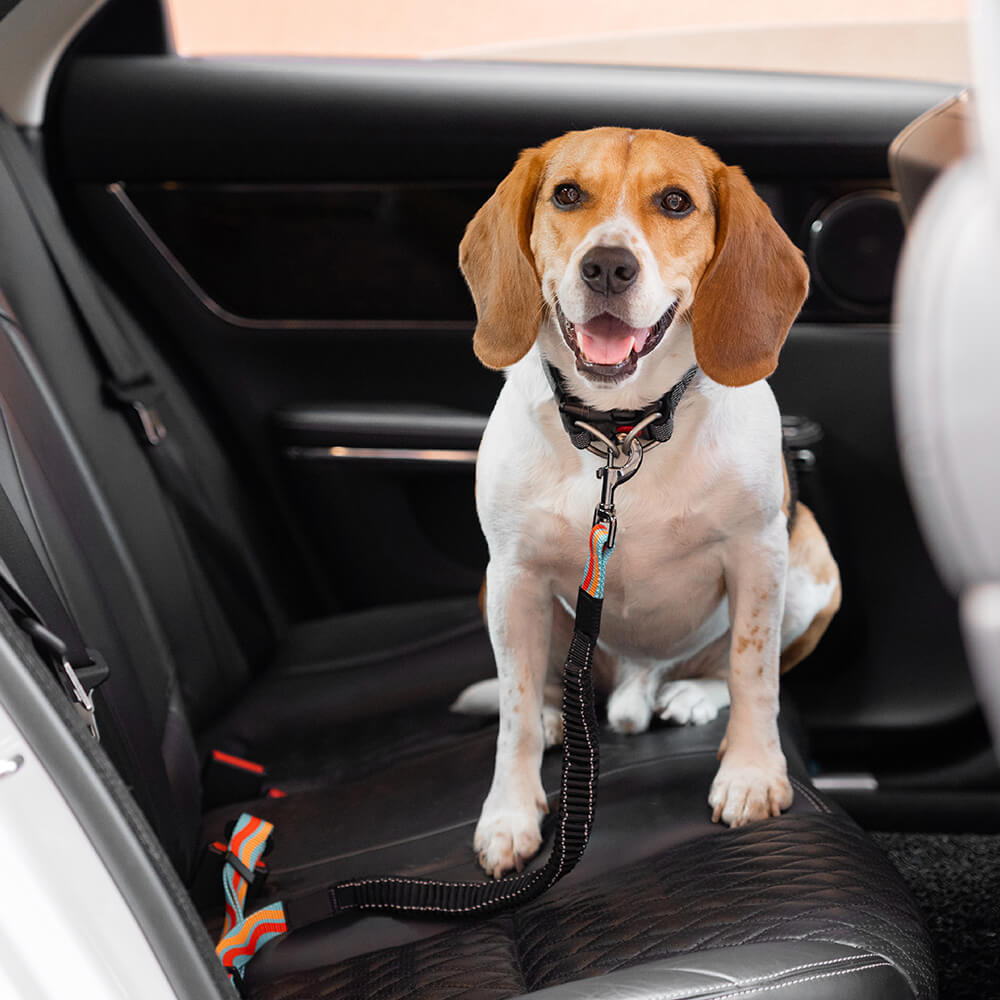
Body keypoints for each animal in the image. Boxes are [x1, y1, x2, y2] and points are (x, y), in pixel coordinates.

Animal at [458, 129, 840, 880]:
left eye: (675, 202)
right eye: (567, 193)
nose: (608, 265)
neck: (621, 431)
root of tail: (638, 681)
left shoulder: (759, 550)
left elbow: (754, 671)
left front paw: (753, 773)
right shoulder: (512, 572)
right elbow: (513, 710)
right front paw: (509, 814)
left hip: (813, 571)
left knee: (733, 669)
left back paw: (692, 694)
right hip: (501, 594)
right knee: (538, 691)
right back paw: (557, 716)